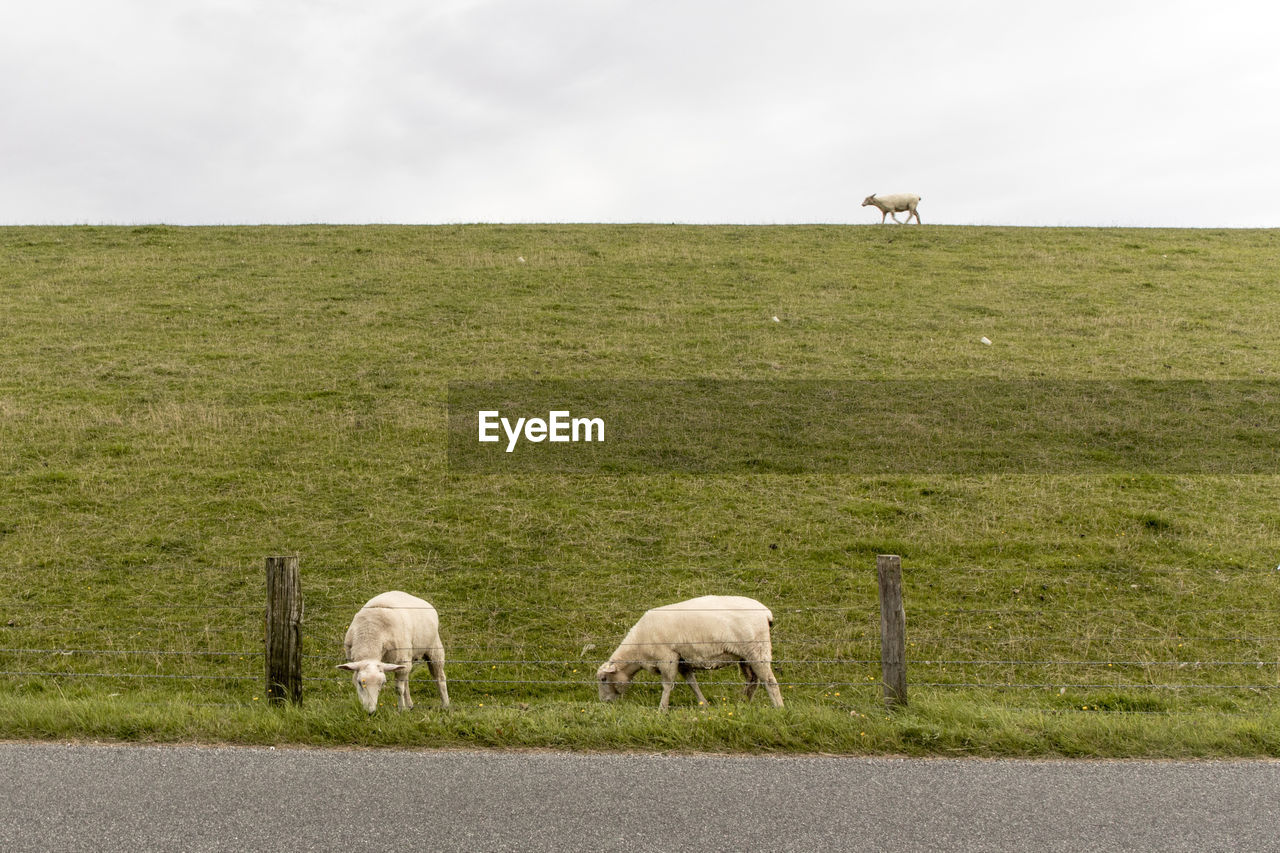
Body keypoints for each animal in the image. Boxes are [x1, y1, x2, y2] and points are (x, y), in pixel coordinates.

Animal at [591, 591, 778, 712]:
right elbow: (692, 683)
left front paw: (662, 710)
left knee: (770, 681)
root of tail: (766, 613)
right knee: (753, 680)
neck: (637, 651)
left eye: (603, 679)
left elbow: (667, 685)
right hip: (744, 655)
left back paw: (778, 707)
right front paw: (704, 704)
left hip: (757, 650)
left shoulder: (667, 658)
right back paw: (743, 703)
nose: (604, 702)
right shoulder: (682, 660)